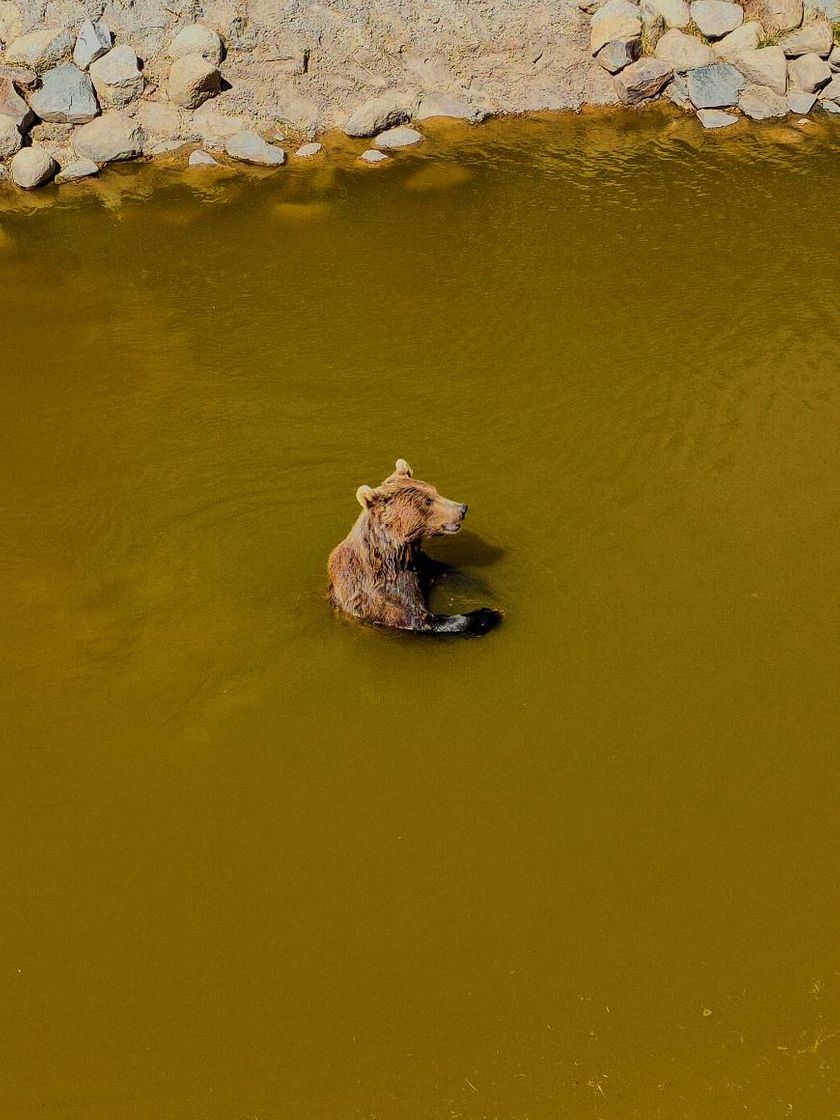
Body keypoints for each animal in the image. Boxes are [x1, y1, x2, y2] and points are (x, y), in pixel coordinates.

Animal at [327, 461, 499, 640]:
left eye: (435, 491)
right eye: (428, 501)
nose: (462, 508)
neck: (397, 555)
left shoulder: (419, 562)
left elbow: (446, 571)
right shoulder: (386, 589)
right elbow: (419, 618)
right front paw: (487, 613)